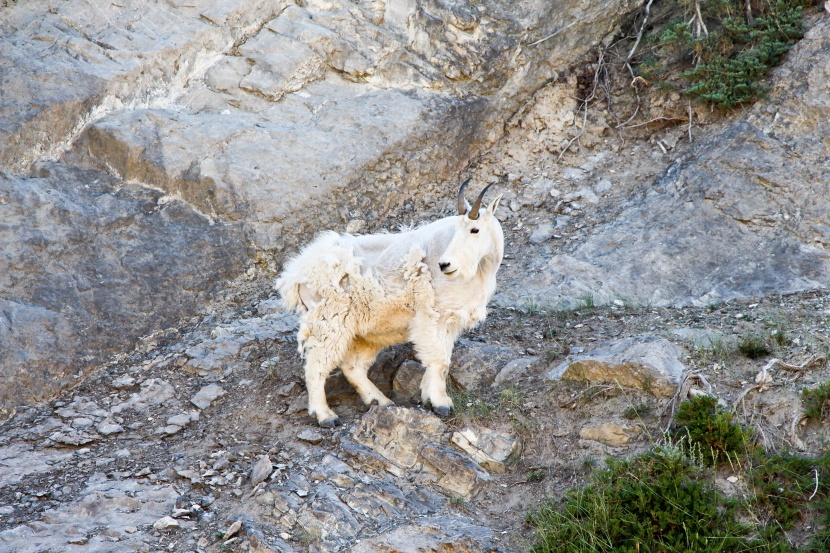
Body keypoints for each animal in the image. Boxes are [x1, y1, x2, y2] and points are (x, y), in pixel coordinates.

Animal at [276, 181, 504, 426]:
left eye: (474, 230)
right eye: (456, 230)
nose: (445, 265)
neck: (480, 270)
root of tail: (296, 274)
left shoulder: (450, 320)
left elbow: (443, 360)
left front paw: (428, 396)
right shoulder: (432, 315)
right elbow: (439, 360)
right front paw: (441, 404)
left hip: (362, 331)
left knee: (353, 366)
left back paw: (379, 401)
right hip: (329, 320)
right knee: (317, 365)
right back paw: (325, 415)